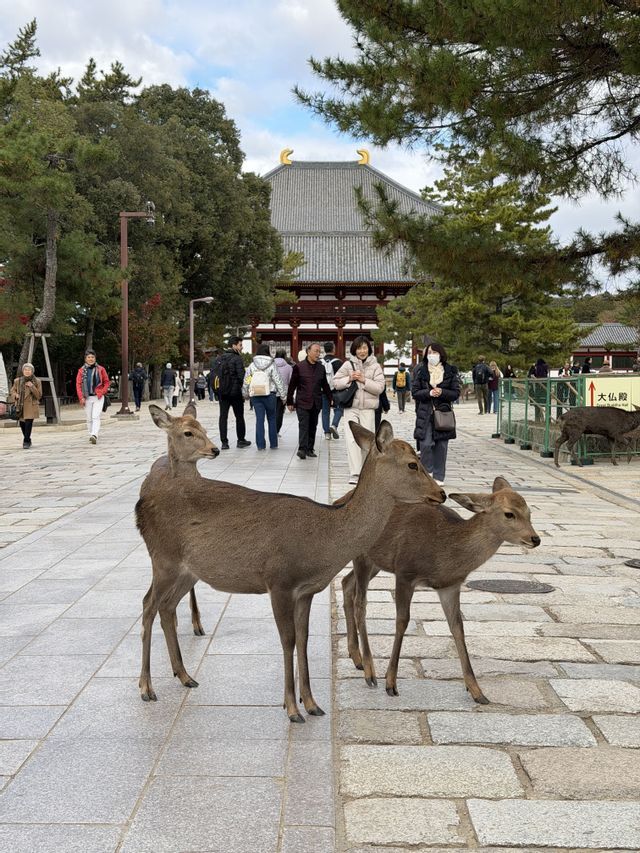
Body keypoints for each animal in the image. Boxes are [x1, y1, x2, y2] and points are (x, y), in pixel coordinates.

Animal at [136, 408, 446, 722]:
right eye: (412, 464)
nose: (441, 494)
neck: (323, 542)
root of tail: (141, 506)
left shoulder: (306, 591)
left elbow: (303, 638)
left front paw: (311, 703)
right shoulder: (279, 582)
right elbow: (287, 640)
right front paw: (292, 708)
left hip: (188, 571)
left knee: (166, 606)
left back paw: (185, 676)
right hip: (163, 559)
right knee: (148, 604)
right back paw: (146, 688)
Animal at [339, 477, 540, 704]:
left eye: (529, 512)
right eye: (509, 513)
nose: (535, 539)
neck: (443, 552)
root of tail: (340, 501)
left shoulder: (449, 586)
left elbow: (457, 627)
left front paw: (477, 692)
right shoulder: (405, 572)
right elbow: (402, 621)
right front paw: (391, 683)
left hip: (376, 561)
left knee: (346, 583)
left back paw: (356, 657)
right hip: (363, 554)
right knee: (360, 603)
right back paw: (370, 672)